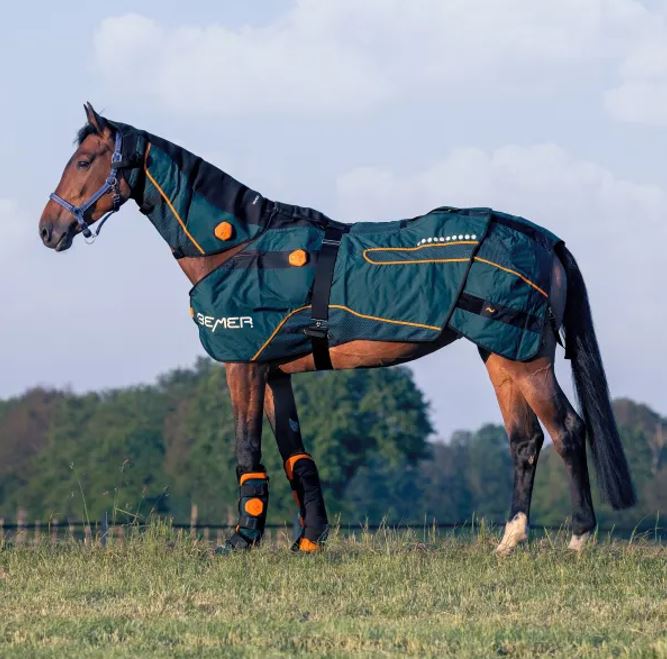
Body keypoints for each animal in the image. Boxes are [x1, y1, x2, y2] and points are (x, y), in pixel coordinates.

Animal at [38, 103, 635, 554]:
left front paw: (241, 540)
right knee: (524, 440)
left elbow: (246, 449)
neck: (242, 244)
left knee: (567, 431)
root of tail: (543, 238)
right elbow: (295, 455)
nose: (49, 230)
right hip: (500, 355)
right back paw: (509, 543)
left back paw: (579, 539)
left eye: (86, 159)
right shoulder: (275, 372)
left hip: (525, 358)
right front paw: (309, 538)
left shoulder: (243, 366)